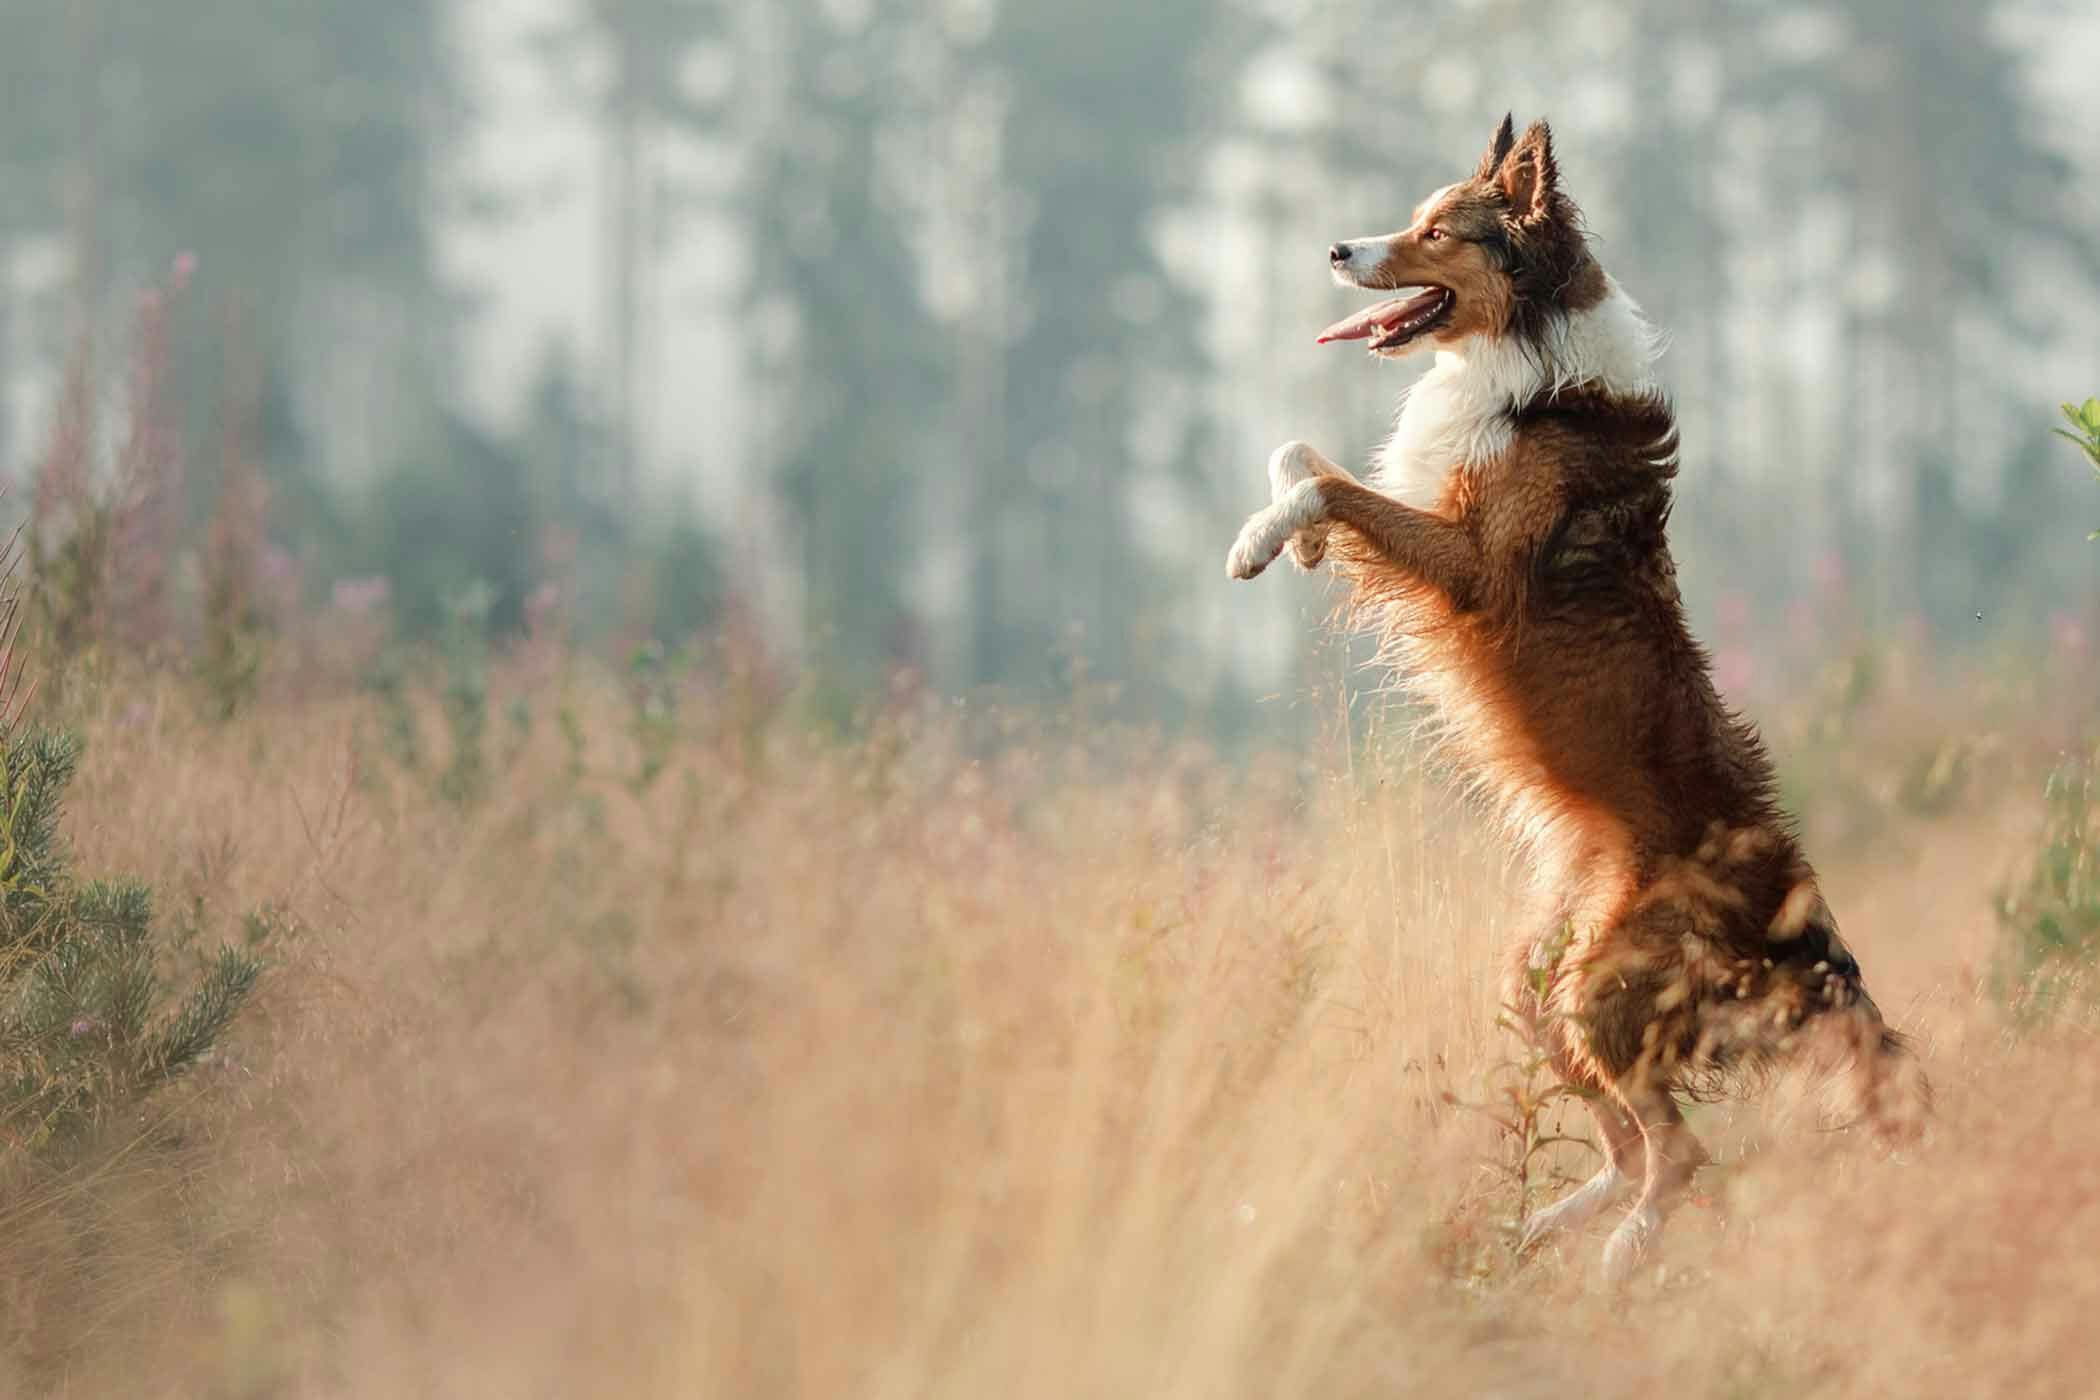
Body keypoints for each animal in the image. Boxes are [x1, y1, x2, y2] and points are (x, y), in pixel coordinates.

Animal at [1226, 117, 1923, 1284]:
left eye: (1434, 232)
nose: (1335, 249)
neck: (1532, 366)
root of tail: (1796, 904)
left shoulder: (1471, 566)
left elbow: (1325, 476)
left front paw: (1264, 539)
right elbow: (1299, 454)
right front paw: (1294, 537)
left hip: (1601, 987)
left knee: (1678, 1156)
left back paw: (1621, 1252)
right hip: (1533, 978)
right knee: (1626, 1142)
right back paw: (1540, 1230)